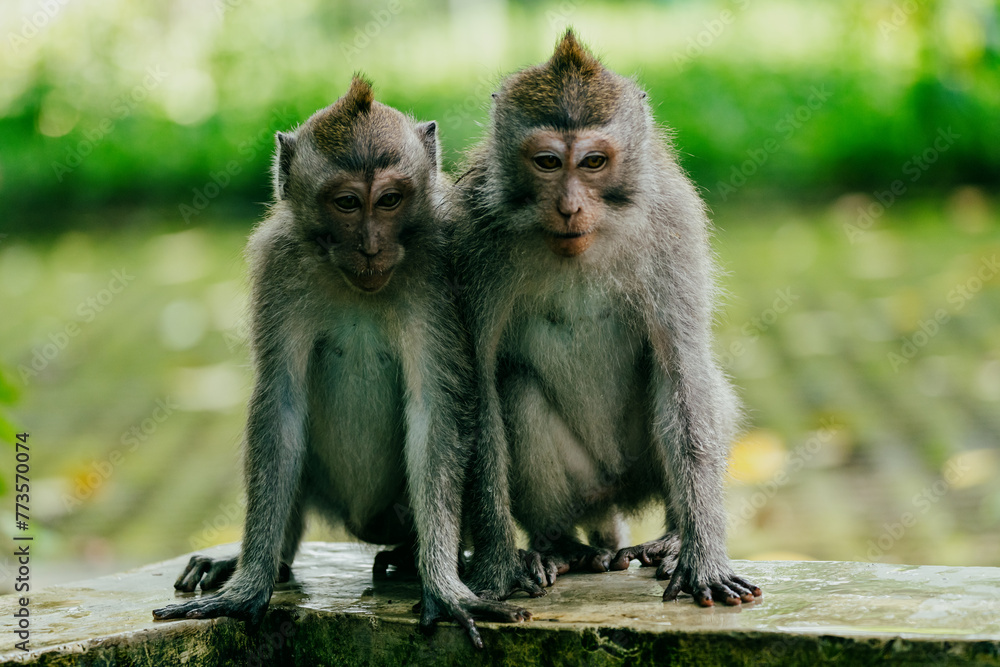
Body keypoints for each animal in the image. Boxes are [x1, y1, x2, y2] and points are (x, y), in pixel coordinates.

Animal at [151, 77, 528, 648]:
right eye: (348, 203)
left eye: (390, 200)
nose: (371, 247)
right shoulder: (279, 261)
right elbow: (280, 404)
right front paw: (249, 587)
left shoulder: (441, 258)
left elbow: (436, 408)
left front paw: (444, 587)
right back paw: (262, 561)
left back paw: (410, 559)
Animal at [458, 30, 760, 604]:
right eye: (548, 162)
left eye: (594, 162)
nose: (569, 207)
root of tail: (612, 497)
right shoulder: (467, 233)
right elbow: (478, 384)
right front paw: (499, 564)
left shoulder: (672, 220)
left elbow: (683, 369)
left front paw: (705, 557)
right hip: (587, 484)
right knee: (516, 390)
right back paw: (561, 544)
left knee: (683, 379)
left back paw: (674, 536)